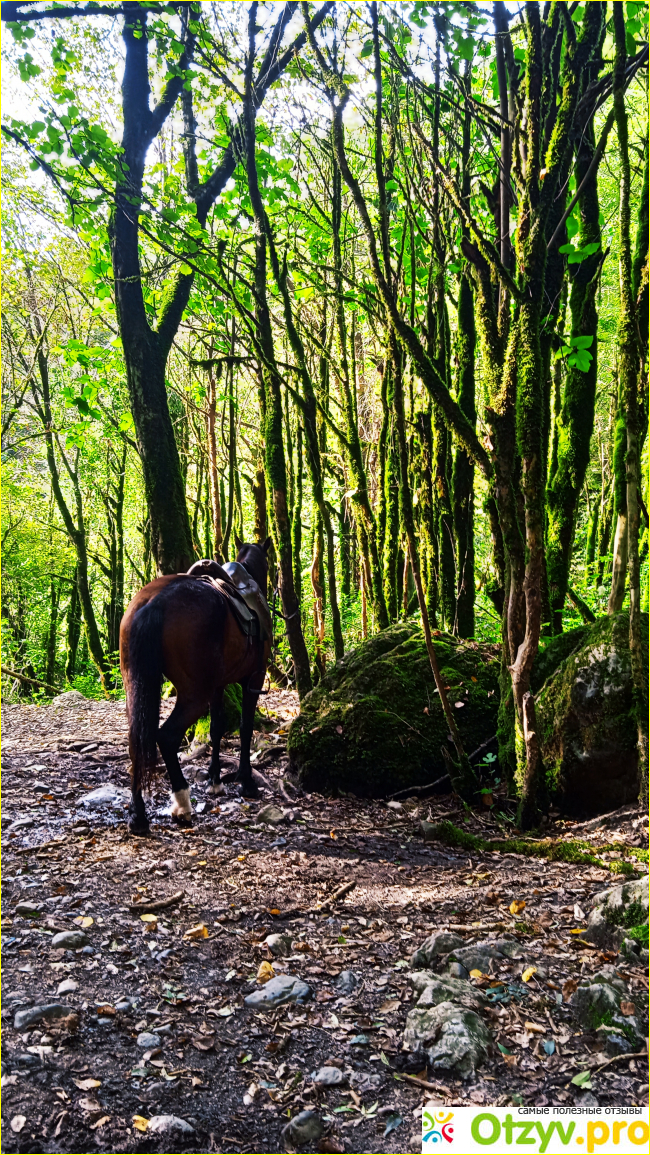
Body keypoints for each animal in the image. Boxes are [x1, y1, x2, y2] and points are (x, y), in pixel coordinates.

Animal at [120, 535, 272, 836]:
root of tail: (155, 602)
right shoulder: (253, 679)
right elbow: (245, 728)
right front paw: (246, 782)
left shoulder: (218, 686)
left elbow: (216, 728)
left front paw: (215, 781)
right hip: (194, 694)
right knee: (167, 736)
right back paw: (182, 804)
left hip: (135, 684)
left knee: (136, 742)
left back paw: (138, 816)